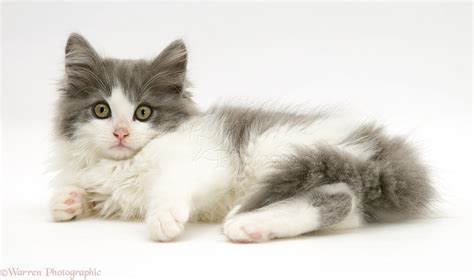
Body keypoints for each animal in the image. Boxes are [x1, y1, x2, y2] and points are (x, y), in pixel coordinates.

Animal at [50, 33, 436, 243]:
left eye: (143, 113)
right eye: (101, 110)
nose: (121, 132)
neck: (125, 164)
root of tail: (383, 144)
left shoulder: (206, 159)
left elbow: (172, 183)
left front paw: (163, 218)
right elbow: (82, 192)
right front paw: (67, 201)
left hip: (279, 148)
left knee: (338, 196)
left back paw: (246, 221)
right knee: (350, 208)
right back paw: (254, 227)